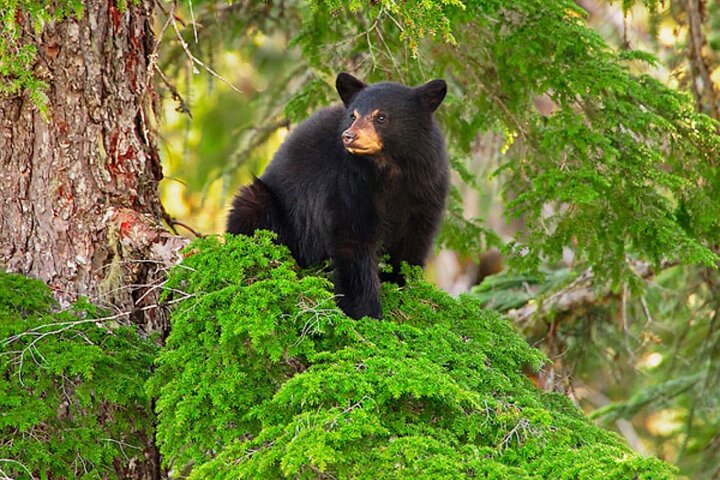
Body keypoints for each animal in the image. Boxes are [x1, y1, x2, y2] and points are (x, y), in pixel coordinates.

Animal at [227, 73, 449, 319]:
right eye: (353, 115)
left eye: (381, 117)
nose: (348, 136)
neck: (389, 170)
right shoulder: (347, 185)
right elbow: (352, 240)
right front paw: (366, 312)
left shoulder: (425, 189)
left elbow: (413, 242)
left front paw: (402, 286)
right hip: (268, 206)